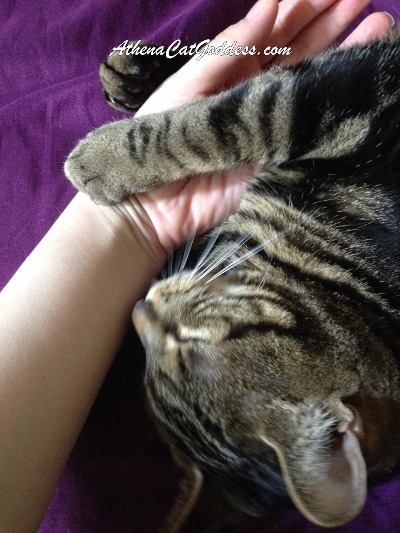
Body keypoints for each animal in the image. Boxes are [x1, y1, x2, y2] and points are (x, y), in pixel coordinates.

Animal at [65, 35, 400, 528]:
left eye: (187, 342)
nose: (139, 308)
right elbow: (237, 88)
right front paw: (142, 76)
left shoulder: (315, 101)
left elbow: (213, 127)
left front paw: (103, 160)